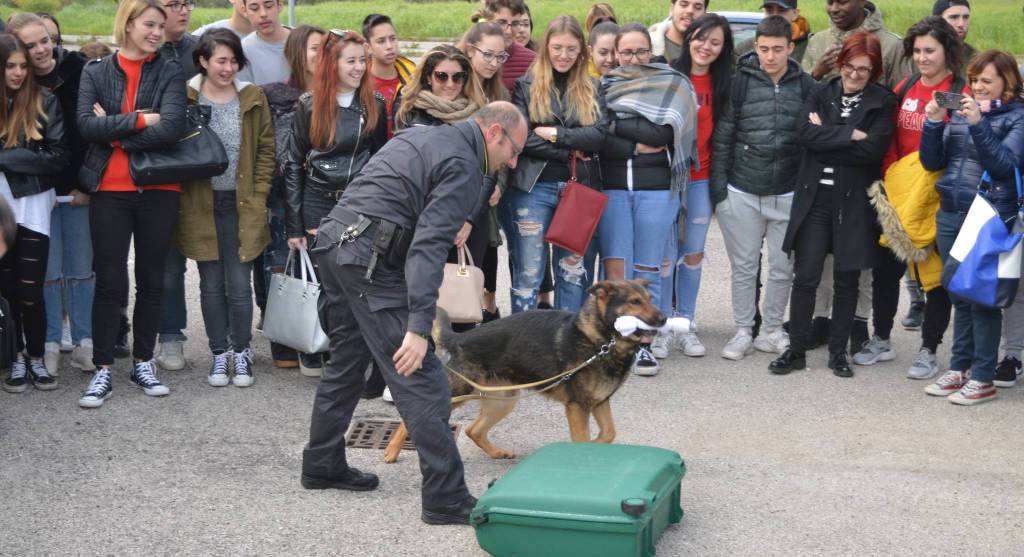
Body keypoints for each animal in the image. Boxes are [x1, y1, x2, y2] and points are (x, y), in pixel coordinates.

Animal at [385, 280, 663, 462]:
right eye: (635, 302)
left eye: (650, 299)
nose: (662, 319)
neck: (602, 340)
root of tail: (460, 338)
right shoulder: (577, 407)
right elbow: (586, 438)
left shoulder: (599, 402)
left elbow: (609, 433)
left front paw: (595, 447)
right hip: (459, 393)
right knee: (412, 419)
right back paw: (391, 451)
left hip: (503, 401)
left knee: (473, 430)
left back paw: (496, 452)